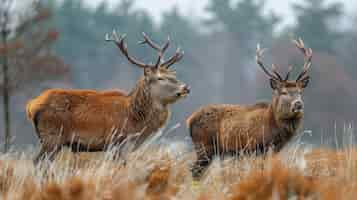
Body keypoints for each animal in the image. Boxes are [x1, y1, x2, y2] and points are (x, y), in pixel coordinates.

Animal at [25, 30, 189, 164]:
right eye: (160, 78)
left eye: (173, 75)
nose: (186, 88)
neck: (135, 121)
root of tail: (31, 106)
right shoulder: (117, 141)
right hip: (52, 136)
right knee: (38, 162)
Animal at [188, 38, 310, 179]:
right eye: (284, 92)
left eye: (300, 92)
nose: (298, 104)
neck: (273, 125)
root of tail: (189, 120)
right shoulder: (257, 147)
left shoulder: (273, 150)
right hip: (204, 146)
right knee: (194, 170)